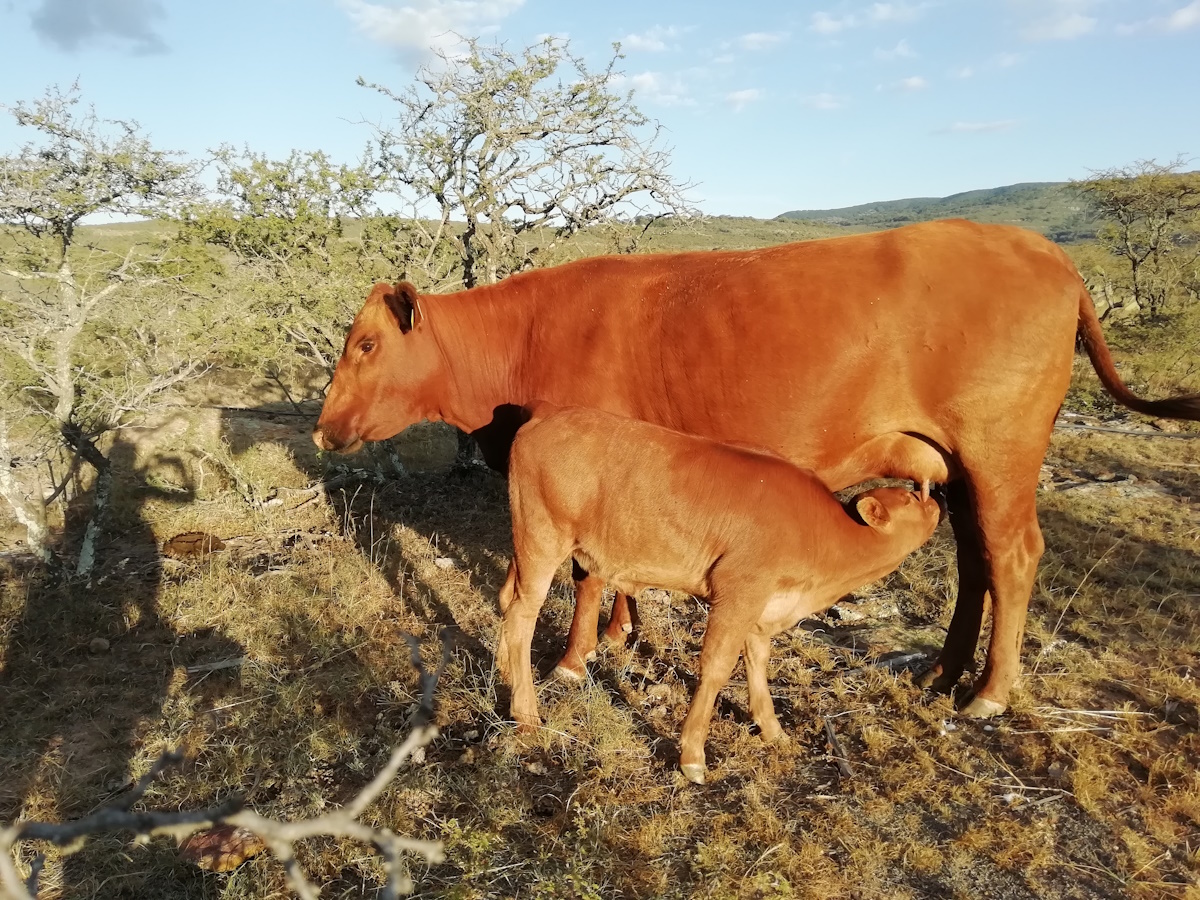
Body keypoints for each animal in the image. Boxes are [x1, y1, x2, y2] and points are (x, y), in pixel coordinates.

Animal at [316, 218, 1200, 720]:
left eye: (366, 344)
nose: (324, 429)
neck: (529, 335)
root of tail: (1047, 255)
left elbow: (587, 574)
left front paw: (573, 658)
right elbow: (618, 570)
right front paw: (621, 636)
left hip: (999, 450)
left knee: (1013, 558)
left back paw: (987, 693)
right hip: (954, 463)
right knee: (977, 559)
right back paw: (945, 670)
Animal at [496, 408, 945, 782]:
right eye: (910, 499)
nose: (935, 495)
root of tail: (542, 421)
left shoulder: (761, 607)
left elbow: (758, 664)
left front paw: (772, 729)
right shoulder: (740, 589)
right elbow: (716, 668)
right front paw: (693, 755)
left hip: (525, 544)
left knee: (505, 600)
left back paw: (505, 672)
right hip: (543, 540)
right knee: (522, 615)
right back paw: (527, 713)